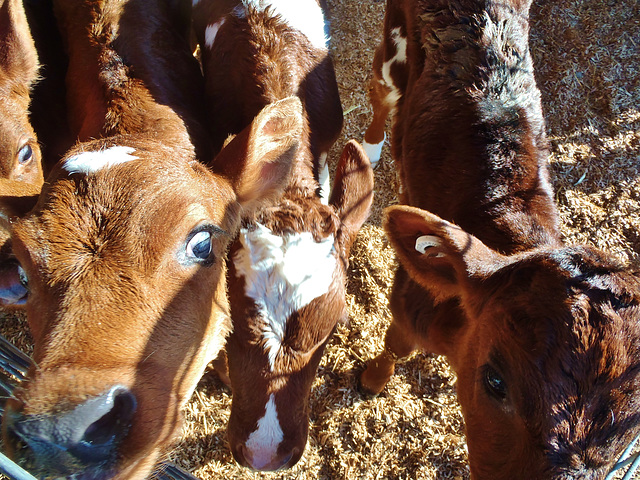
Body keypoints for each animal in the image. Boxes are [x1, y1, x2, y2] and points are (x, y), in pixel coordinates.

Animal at [358, 0, 640, 480]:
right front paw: (371, 380)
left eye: (630, 430)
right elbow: (395, 346)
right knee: (381, 90)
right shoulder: (409, 301)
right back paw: (373, 145)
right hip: (393, 43)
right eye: (495, 380)